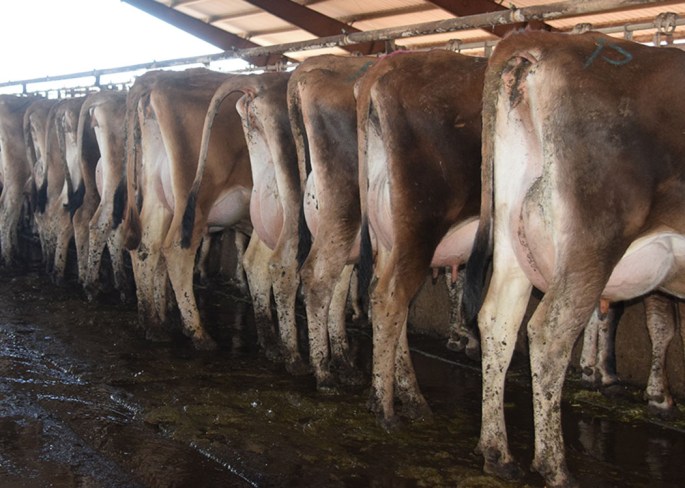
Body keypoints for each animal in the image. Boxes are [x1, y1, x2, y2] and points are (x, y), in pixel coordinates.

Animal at [123, 68, 252, 349]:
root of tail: (158, 77)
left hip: (159, 196)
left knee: (146, 247)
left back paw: (152, 323)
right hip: (195, 200)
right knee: (175, 250)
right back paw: (198, 332)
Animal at [355, 50, 486, 424]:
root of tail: (388, 64)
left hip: (388, 233)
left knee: (383, 296)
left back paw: (408, 397)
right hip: (421, 225)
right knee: (391, 298)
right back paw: (385, 407)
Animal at [462, 30, 685, 487]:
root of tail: (545, 42)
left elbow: (661, 326)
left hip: (513, 232)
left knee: (498, 319)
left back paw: (497, 452)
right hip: (593, 239)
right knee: (549, 332)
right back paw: (555, 466)